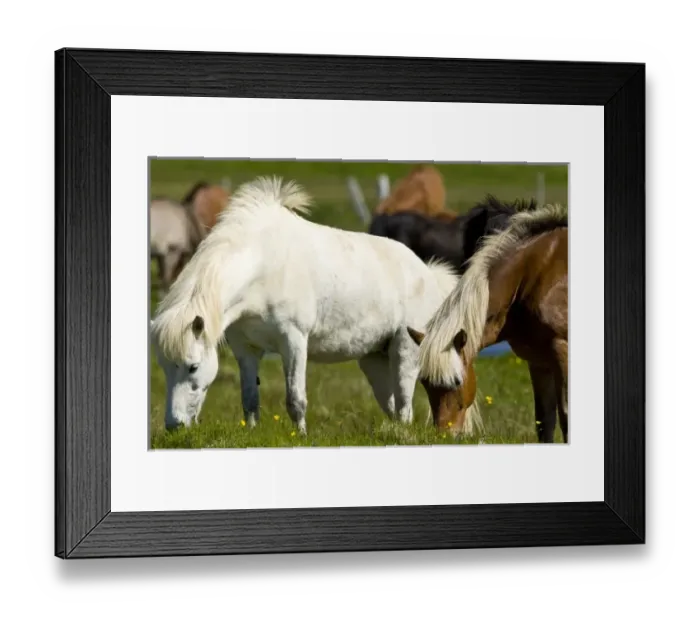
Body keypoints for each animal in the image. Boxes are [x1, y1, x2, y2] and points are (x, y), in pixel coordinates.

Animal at [149, 175, 480, 436]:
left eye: (192, 366)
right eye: (164, 367)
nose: (174, 425)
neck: (263, 266)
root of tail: (426, 273)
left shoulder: (294, 341)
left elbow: (296, 398)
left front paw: (302, 436)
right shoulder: (245, 349)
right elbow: (249, 399)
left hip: (405, 351)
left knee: (405, 405)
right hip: (374, 359)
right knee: (391, 406)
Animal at [406, 203, 568, 444]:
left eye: (457, 381)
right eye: (425, 382)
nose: (444, 434)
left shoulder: (562, 353)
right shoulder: (539, 361)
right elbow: (544, 422)